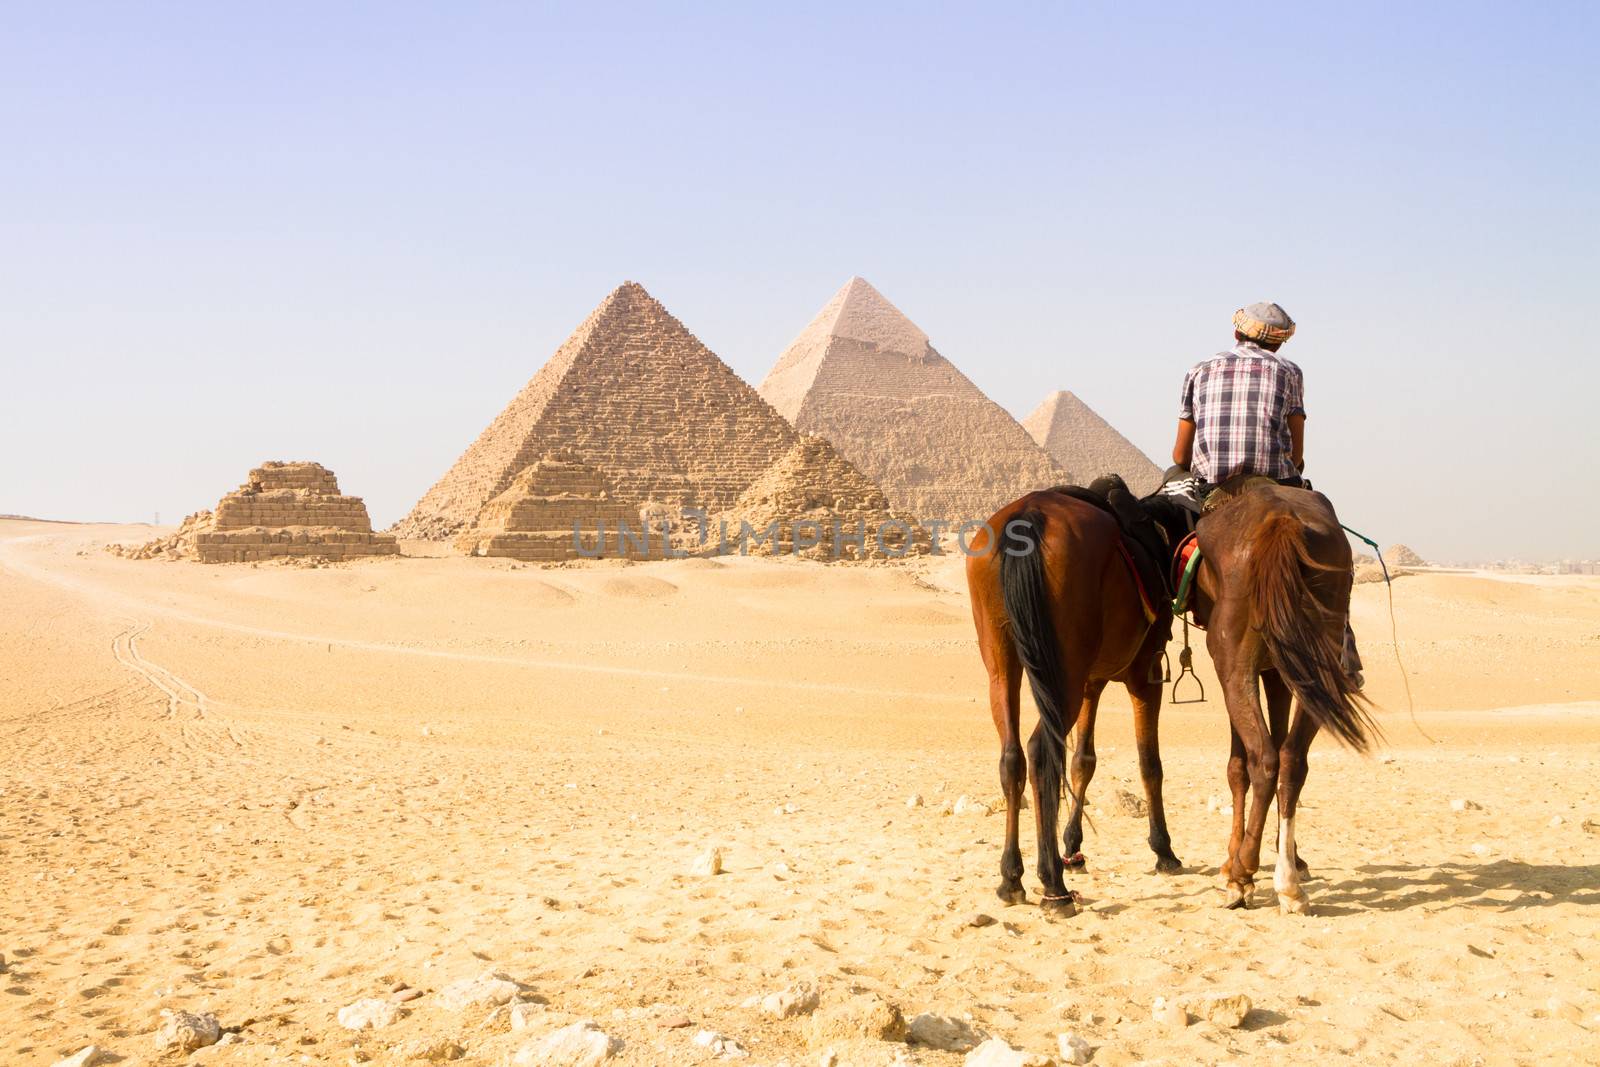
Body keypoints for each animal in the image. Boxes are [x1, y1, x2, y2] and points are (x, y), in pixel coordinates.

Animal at [960, 492, 1177, 921]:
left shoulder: (1092, 681)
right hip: (1065, 672)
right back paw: (1053, 887)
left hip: (1005, 657)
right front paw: (1164, 850)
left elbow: (1083, 761)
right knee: (1041, 751)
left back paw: (1012, 878)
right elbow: (1150, 764)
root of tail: (1028, 514)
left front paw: (1073, 847)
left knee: (1013, 755)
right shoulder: (1145, 673)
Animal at [1190, 479, 1376, 915]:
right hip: (1317, 656)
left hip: (1231, 661)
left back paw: (1243, 875)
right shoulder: (1277, 669)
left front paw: (1230, 861)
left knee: (1264, 757)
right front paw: (1291, 855)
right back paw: (1288, 882)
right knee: (1291, 758)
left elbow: (1236, 765)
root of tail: (1281, 521)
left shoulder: (1247, 669)